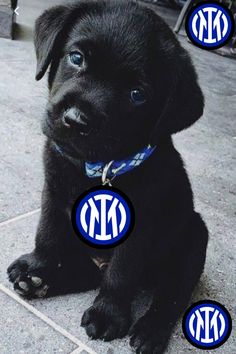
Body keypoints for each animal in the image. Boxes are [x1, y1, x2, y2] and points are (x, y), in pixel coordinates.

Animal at [7, 1, 208, 352]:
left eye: (137, 94)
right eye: (76, 58)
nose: (76, 119)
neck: (96, 165)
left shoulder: (140, 222)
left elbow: (122, 272)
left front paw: (108, 314)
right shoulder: (53, 190)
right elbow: (46, 232)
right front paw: (37, 265)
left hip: (194, 239)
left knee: (171, 294)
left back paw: (150, 331)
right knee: (88, 273)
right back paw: (38, 281)